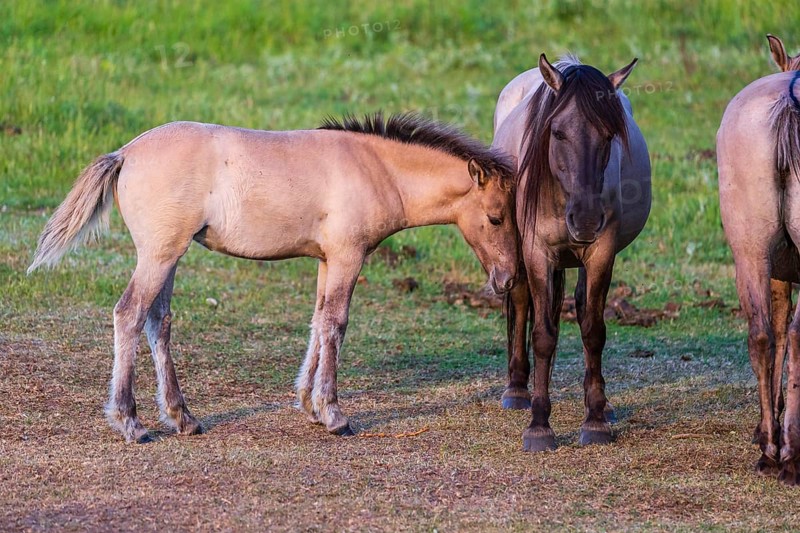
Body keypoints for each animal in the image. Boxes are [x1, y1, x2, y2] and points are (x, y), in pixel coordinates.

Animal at [28, 113, 519, 443]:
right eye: (496, 217)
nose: (508, 279)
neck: (375, 168)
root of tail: (126, 153)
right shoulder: (348, 257)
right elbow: (336, 325)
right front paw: (334, 414)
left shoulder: (327, 260)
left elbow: (318, 322)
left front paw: (308, 404)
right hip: (160, 255)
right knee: (129, 314)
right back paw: (131, 422)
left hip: (166, 256)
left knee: (158, 322)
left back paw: (183, 417)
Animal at [491, 54, 651, 452]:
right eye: (558, 133)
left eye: (609, 135)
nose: (587, 218)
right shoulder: (537, 252)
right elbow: (543, 334)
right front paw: (538, 425)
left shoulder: (601, 252)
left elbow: (593, 330)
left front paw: (595, 420)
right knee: (521, 301)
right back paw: (517, 389)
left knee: (579, 305)